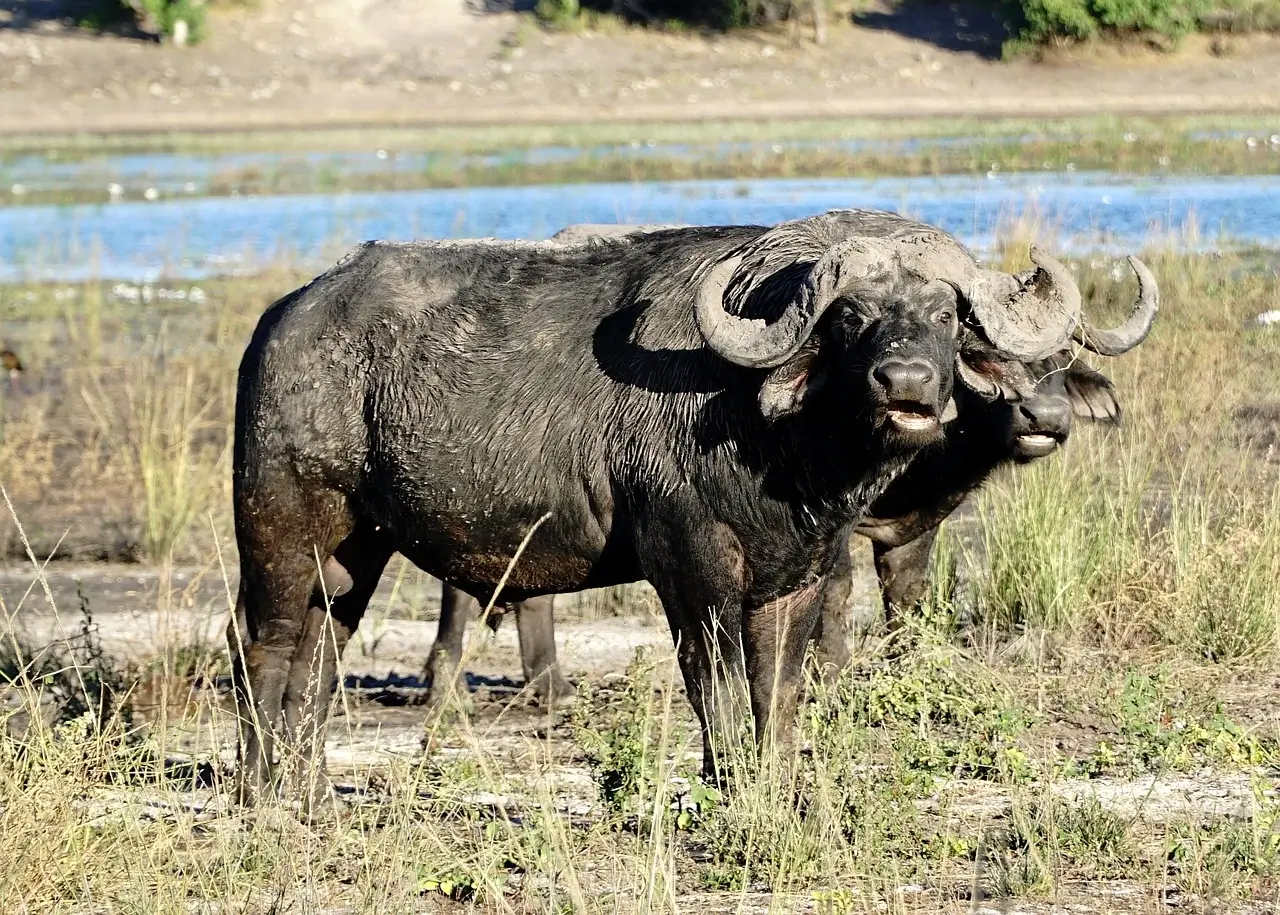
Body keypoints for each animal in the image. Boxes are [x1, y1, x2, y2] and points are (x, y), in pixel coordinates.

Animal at [229, 209, 1148, 806]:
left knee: (318, 658)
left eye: (949, 316)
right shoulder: (692, 571)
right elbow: (720, 690)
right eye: (852, 315)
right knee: (261, 649)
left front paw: (773, 790)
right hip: (278, 531)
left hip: (355, 553)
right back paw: (255, 791)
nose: (908, 384)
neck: (778, 442)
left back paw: (308, 789)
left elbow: (779, 691)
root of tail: (284, 319)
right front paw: (727, 787)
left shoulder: (801, 575)